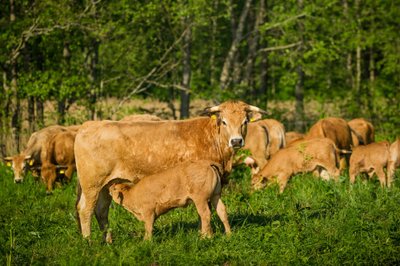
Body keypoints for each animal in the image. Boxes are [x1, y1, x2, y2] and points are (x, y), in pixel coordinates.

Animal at [75, 100, 266, 243]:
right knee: (85, 210)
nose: (236, 141)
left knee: (101, 211)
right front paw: (203, 234)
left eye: (245, 122)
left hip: (107, 184)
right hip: (91, 184)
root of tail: (88, 125)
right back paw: (88, 241)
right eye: (224, 121)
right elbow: (205, 211)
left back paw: (108, 241)